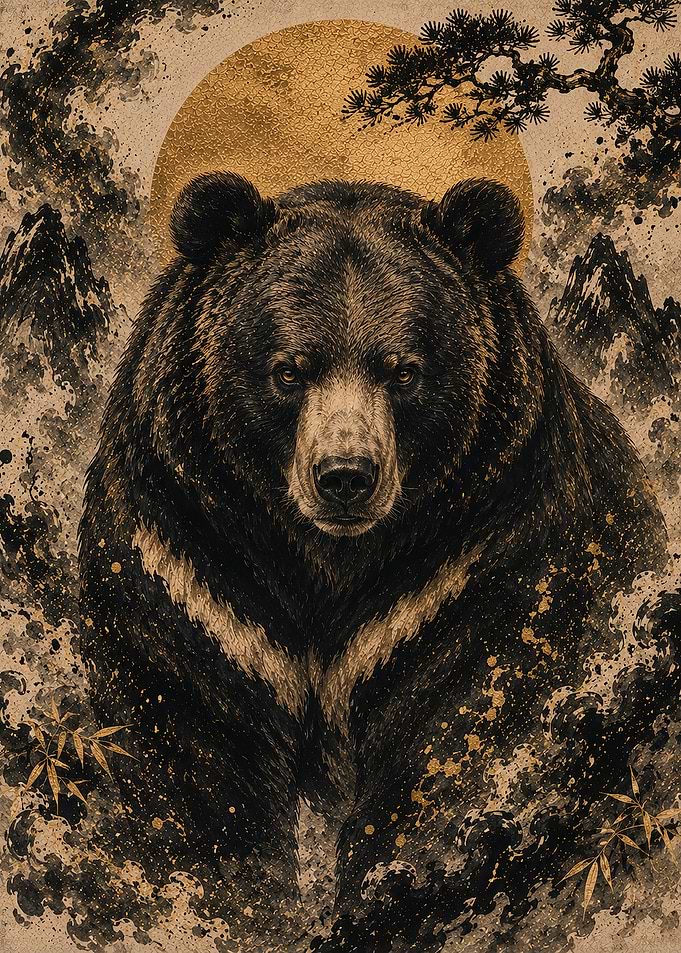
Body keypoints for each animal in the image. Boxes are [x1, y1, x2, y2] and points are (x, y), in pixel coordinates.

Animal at [78, 172, 668, 949]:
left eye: (404, 370)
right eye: (289, 369)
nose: (345, 475)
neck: (325, 563)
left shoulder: (476, 572)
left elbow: (450, 748)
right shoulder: (193, 569)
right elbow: (198, 761)